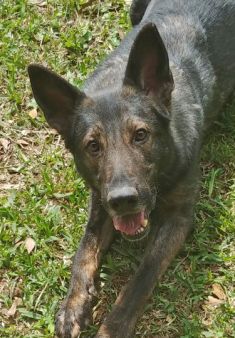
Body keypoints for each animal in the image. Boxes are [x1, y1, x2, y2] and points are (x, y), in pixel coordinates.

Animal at [28, 1, 235, 336]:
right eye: (93, 146)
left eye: (140, 135)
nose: (124, 200)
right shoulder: (101, 202)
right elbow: (84, 250)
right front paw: (73, 305)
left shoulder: (178, 219)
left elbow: (141, 278)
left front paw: (113, 327)